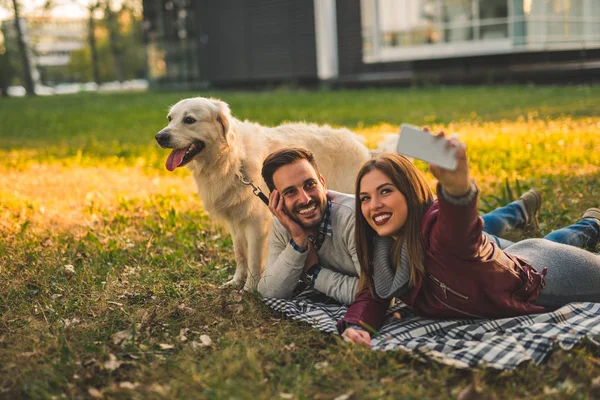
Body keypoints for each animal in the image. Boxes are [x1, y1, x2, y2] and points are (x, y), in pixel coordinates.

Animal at [156, 97, 376, 290]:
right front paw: (236, 282)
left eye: (189, 120)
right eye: (169, 118)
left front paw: (249, 290)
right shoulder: (235, 222)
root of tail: (363, 147)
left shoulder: (257, 225)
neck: (231, 160)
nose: (160, 137)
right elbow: (240, 255)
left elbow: (254, 261)